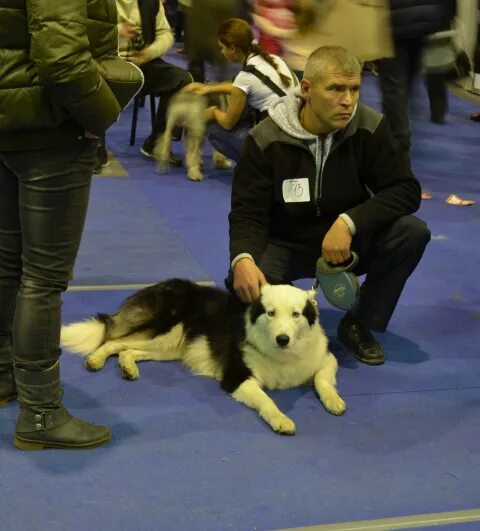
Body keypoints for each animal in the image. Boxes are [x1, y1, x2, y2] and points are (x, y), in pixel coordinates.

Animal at [61, 280, 344, 434]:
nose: (282, 339)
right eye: (271, 313)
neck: (285, 355)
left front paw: (334, 401)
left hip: (169, 346)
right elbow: (267, 400)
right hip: (165, 331)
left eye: (296, 314)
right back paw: (96, 360)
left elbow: (322, 379)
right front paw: (281, 420)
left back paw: (128, 367)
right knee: (112, 340)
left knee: (127, 349)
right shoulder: (236, 377)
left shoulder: (326, 359)